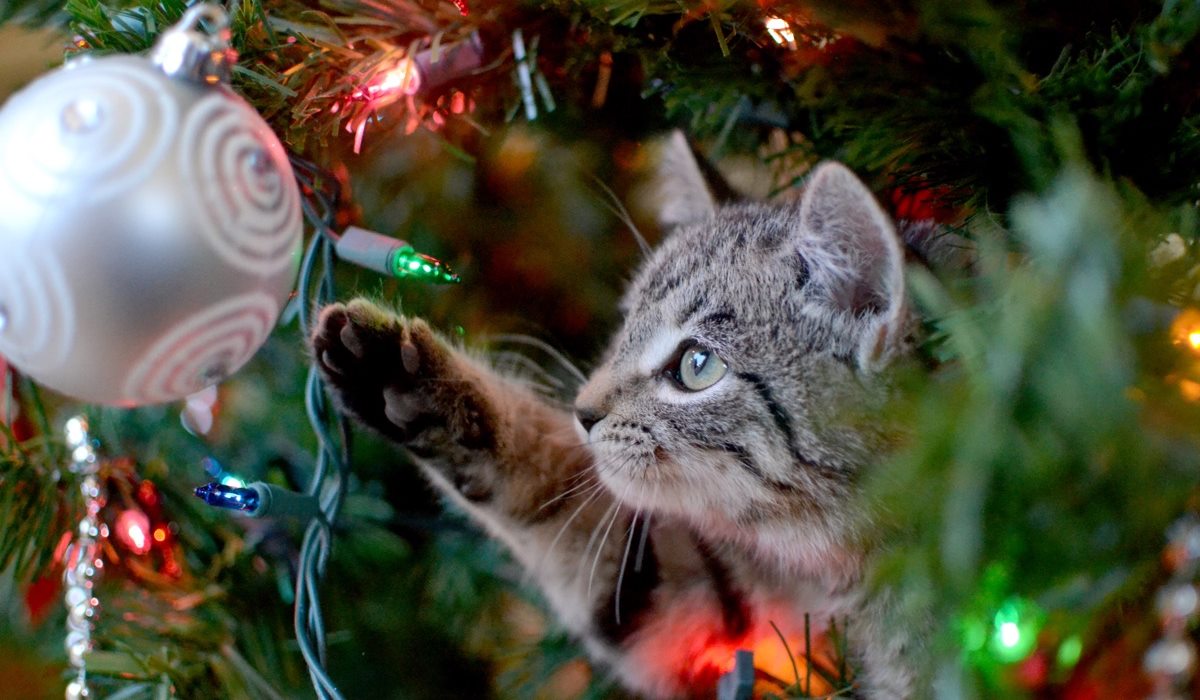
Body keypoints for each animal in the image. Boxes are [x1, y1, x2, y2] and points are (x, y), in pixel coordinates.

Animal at [309, 135, 916, 696]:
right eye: (627, 326)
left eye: (697, 365)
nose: (583, 411)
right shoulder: (708, 620)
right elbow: (566, 506)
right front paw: (409, 383)